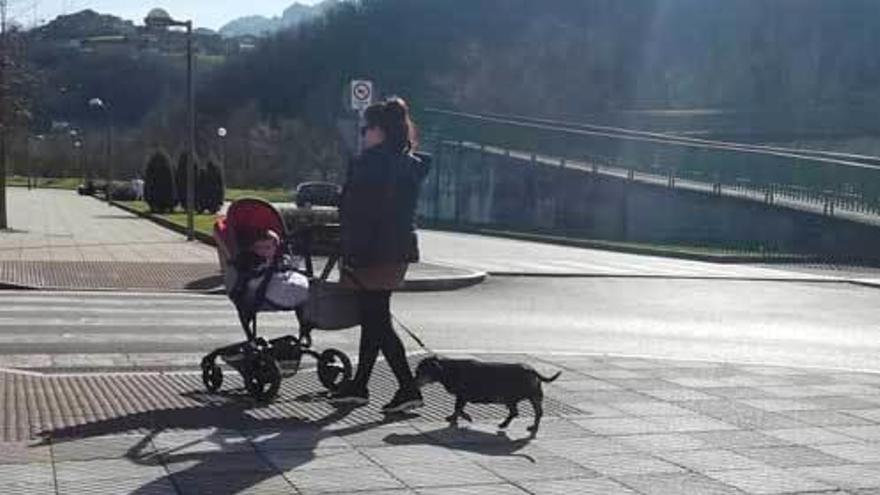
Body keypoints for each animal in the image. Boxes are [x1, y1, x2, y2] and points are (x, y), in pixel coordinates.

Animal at [414, 356, 564, 434]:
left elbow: (458, 408)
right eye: (416, 371)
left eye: (421, 372)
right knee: (532, 412)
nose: (413, 381)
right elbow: (457, 408)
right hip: (528, 397)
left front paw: (463, 417)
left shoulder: (462, 395)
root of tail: (531, 370)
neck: (447, 369)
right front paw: (454, 418)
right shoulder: (461, 396)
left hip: (516, 397)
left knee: (524, 412)